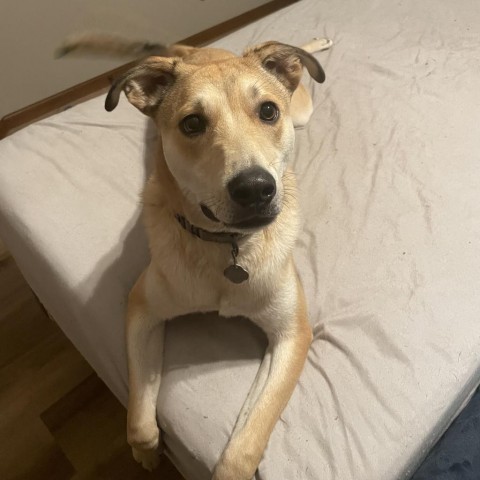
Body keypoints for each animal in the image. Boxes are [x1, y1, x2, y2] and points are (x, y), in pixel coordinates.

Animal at [60, 31, 332, 478]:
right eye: (192, 123)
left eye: (268, 111)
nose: (255, 188)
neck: (227, 248)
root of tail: (197, 50)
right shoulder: (141, 309)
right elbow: (139, 418)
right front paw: (146, 453)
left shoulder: (292, 333)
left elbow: (244, 444)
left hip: (303, 109)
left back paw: (316, 43)